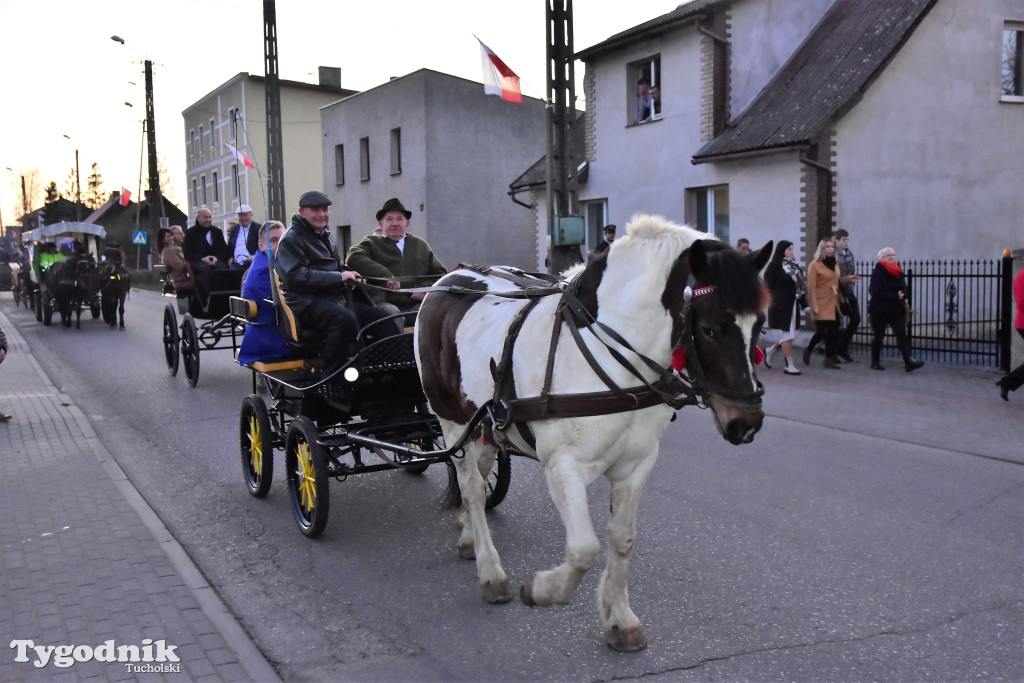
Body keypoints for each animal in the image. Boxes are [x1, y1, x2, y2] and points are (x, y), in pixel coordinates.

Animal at [413, 214, 770, 651]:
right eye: (710, 330)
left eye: (760, 324)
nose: (746, 422)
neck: (605, 349)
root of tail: (447, 280)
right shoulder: (562, 466)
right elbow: (584, 548)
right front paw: (543, 590)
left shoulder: (637, 465)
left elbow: (622, 539)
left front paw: (620, 619)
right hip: (451, 419)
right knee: (473, 491)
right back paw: (491, 572)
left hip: (485, 427)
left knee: (477, 478)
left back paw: (468, 537)